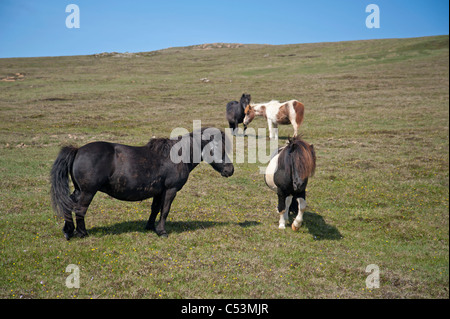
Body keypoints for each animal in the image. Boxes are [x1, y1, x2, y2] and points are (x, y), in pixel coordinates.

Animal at [50, 127, 234, 240]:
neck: (176, 156)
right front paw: (162, 231)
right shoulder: (171, 190)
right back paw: (82, 233)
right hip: (88, 191)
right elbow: (165, 210)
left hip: (79, 190)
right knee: (80, 209)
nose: (230, 170)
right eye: (219, 149)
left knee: (69, 204)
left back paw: (68, 231)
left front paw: (151, 227)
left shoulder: (159, 191)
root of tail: (78, 150)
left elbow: (155, 209)